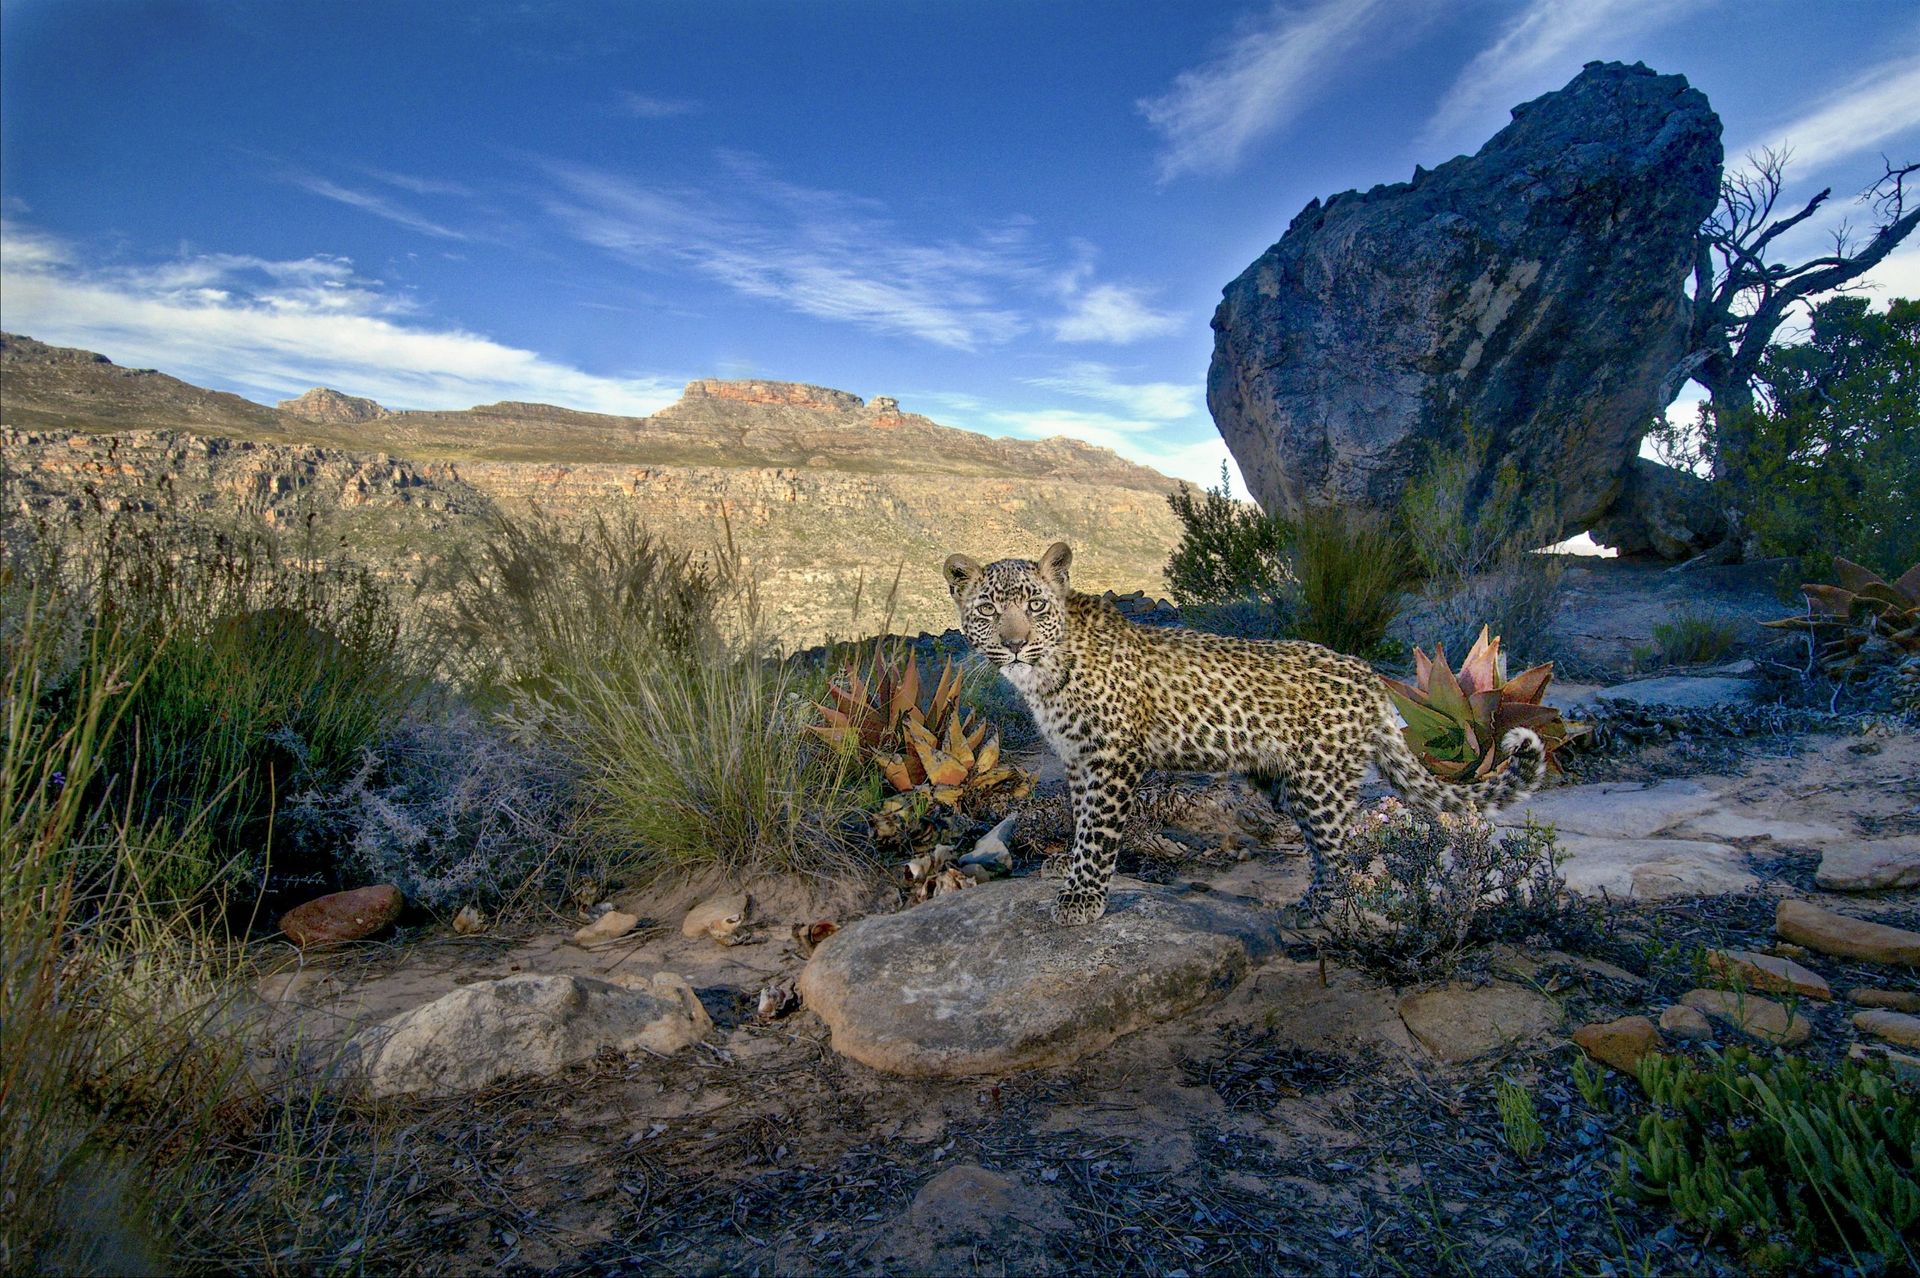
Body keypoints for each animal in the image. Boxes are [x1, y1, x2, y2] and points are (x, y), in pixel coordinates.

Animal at [943, 541, 1546, 926]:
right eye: (989, 609)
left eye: (1035, 605)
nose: (1015, 643)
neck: (1042, 675)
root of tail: (1372, 679)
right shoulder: (1074, 758)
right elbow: (1078, 820)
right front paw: (1063, 871)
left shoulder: (1111, 757)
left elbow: (1097, 831)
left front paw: (1082, 899)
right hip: (1287, 784)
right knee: (1326, 847)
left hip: (1321, 782)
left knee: (1342, 851)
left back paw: (1321, 911)